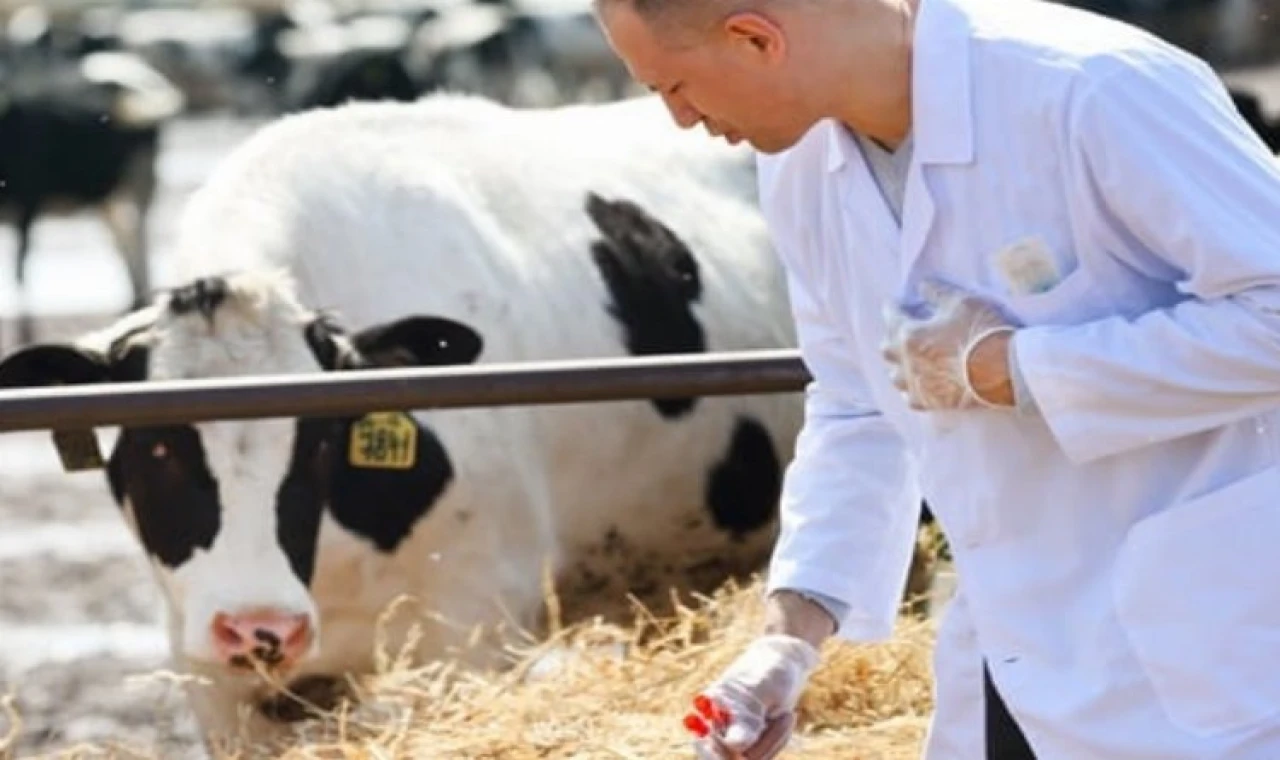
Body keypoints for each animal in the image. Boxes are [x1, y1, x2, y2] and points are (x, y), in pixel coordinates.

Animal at [0, 52, 185, 345]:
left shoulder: (28, 202)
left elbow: (19, 270)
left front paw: (25, 336)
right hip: (108, 198)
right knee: (125, 241)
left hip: (140, 180)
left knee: (139, 241)